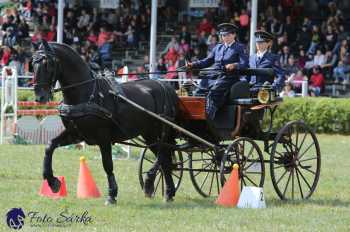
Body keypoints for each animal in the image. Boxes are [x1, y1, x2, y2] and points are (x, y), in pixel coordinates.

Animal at [32, 40, 180, 204]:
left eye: (48, 64)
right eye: (32, 64)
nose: (40, 97)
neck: (86, 93)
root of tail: (165, 86)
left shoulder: (103, 138)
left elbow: (107, 164)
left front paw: (112, 194)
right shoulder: (75, 134)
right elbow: (50, 146)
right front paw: (52, 181)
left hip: (158, 132)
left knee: (162, 156)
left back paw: (151, 183)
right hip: (149, 134)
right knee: (165, 160)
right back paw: (169, 192)